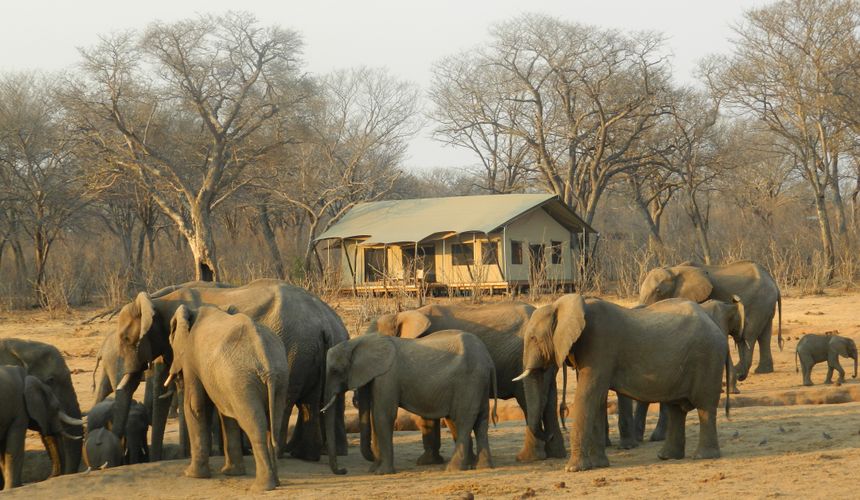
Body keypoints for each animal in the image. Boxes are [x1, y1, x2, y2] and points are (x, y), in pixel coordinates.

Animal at [111, 278, 350, 460]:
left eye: (126, 339)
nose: (121, 458)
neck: (157, 301)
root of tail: (326, 324)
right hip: (311, 352)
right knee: (312, 402)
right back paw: (309, 455)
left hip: (295, 350)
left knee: (286, 400)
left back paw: (280, 454)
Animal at [322, 330, 498, 474]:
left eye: (335, 371)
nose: (343, 470)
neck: (357, 342)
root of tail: (489, 359)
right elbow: (374, 416)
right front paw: (375, 470)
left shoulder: (388, 376)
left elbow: (382, 415)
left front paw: (382, 473)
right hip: (479, 383)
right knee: (480, 421)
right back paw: (482, 467)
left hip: (469, 381)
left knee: (463, 420)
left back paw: (453, 469)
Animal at [370, 300, 564, 460]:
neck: (405, 314)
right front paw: (432, 462)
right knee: (549, 402)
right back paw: (555, 453)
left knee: (530, 402)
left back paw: (530, 457)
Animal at [640, 262, 780, 378]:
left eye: (658, 291)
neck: (674, 269)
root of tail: (773, 282)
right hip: (766, 304)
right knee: (764, 335)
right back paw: (762, 371)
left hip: (759, 302)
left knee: (747, 335)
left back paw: (739, 372)